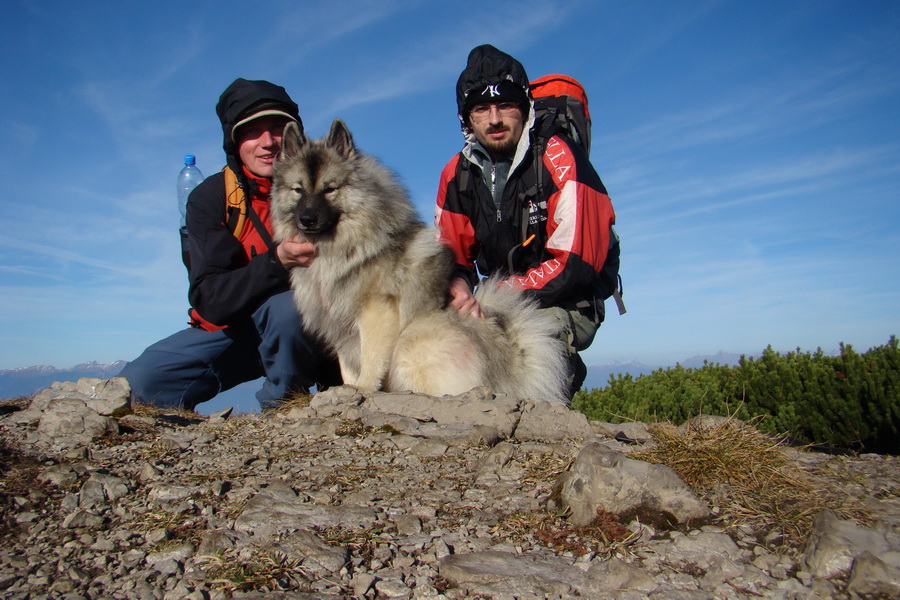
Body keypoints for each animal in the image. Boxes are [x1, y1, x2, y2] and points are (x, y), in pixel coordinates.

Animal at [270, 120, 568, 404]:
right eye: (298, 190)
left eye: (330, 189)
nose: (306, 219)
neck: (340, 246)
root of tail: (509, 367)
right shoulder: (341, 328)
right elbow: (348, 368)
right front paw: (348, 389)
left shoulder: (375, 313)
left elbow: (370, 361)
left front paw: (362, 389)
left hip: (412, 340)